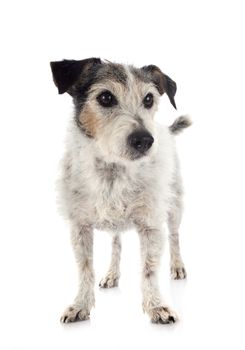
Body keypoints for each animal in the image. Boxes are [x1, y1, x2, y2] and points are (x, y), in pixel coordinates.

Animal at [49, 57, 191, 322]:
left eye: (149, 99)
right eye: (105, 97)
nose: (145, 140)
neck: (113, 172)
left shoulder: (151, 226)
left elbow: (149, 270)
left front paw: (156, 306)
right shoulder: (79, 227)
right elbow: (85, 269)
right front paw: (80, 305)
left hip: (175, 205)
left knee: (175, 236)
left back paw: (177, 266)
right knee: (116, 244)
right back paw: (112, 274)